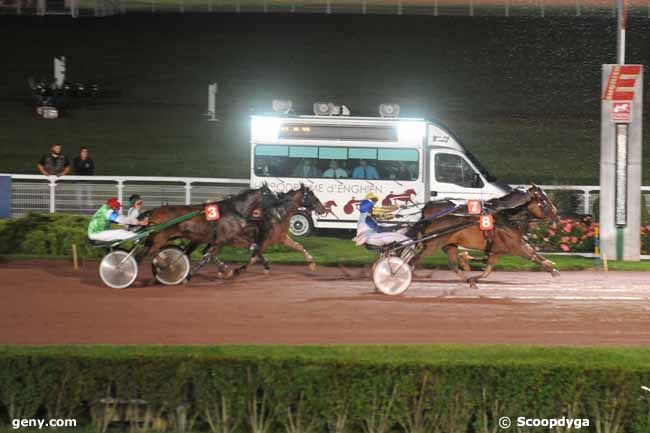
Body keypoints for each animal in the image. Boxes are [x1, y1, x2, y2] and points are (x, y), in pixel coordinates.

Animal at [137, 184, 278, 278]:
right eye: (270, 194)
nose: (279, 201)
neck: (234, 210)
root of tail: (153, 211)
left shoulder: (230, 237)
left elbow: (254, 247)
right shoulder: (222, 239)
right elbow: (207, 256)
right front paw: (189, 275)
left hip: (155, 240)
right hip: (159, 239)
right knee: (145, 255)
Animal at [410, 183, 556, 286]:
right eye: (543, 199)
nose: (555, 212)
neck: (508, 218)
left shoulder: (499, 250)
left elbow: (487, 270)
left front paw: (551, 265)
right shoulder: (515, 247)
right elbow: (532, 256)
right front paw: (552, 269)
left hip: (449, 245)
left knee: (452, 265)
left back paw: (468, 280)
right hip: (432, 245)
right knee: (414, 260)